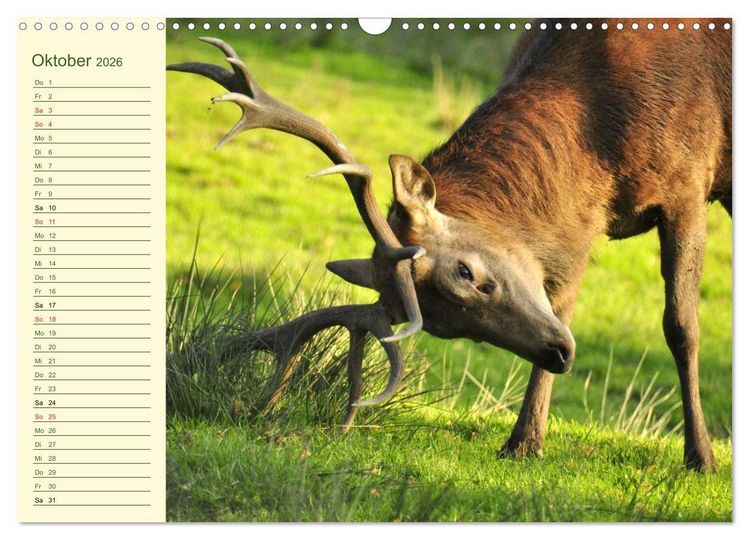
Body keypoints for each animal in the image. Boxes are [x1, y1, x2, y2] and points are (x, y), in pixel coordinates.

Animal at [167, 18, 731, 472]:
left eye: (465, 272)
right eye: (447, 327)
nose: (559, 353)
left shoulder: (688, 183)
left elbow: (682, 326)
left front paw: (700, 457)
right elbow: (565, 304)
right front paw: (525, 443)